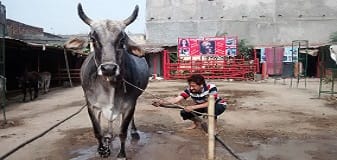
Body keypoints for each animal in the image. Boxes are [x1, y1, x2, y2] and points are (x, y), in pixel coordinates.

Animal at [65, 3, 149, 159]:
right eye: (93, 39)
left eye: (122, 40)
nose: (109, 68)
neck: (110, 86)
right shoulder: (91, 105)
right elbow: (97, 131)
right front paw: (102, 149)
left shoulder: (129, 104)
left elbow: (123, 132)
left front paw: (121, 154)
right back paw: (108, 136)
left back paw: (133, 132)